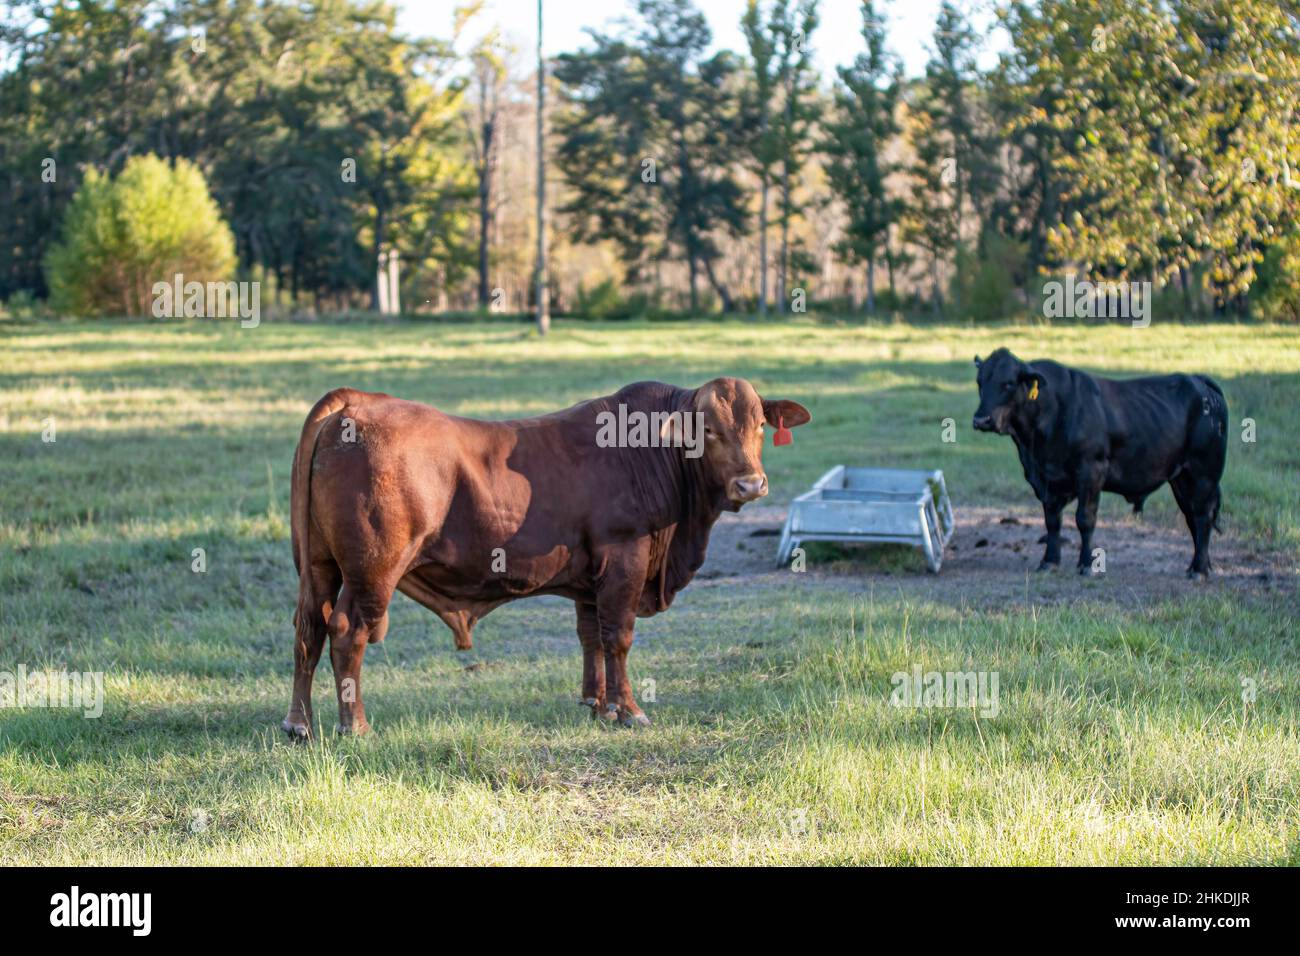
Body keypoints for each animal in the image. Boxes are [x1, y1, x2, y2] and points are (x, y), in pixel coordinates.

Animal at [282, 378, 810, 738]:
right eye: (709, 431)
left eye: (758, 425)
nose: (751, 484)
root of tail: (358, 399)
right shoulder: (625, 559)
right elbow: (618, 637)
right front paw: (630, 710)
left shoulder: (591, 577)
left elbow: (591, 637)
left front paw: (597, 704)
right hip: (373, 571)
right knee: (346, 631)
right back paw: (355, 725)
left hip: (321, 568)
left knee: (309, 629)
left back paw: (299, 724)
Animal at [971, 348, 1227, 578]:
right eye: (980, 382)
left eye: (1008, 383)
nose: (981, 420)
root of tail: (1198, 380)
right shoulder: (1046, 479)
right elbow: (1052, 521)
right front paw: (1049, 562)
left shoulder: (1091, 471)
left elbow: (1085, 519)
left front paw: (1086, 564)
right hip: (1181, 479)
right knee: (1192, 517)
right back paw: (1199, 565)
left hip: (1203, 474)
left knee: (1202, 517)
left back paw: (1199, 570)